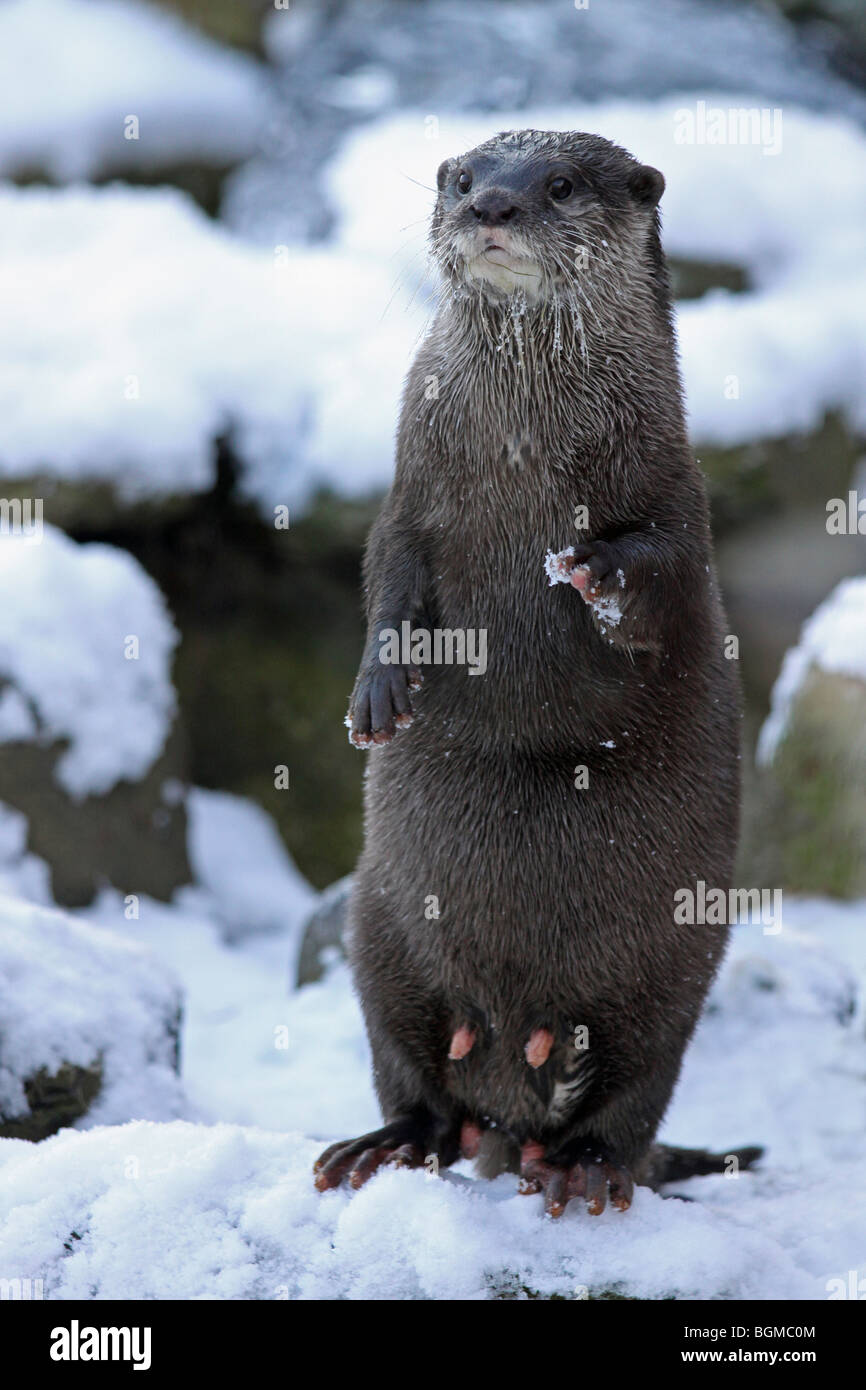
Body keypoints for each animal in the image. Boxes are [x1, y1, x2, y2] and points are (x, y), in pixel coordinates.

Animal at [312, 132, 756, 1217]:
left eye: (558, 184)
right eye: (466, 177)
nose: (495, 207)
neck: (519, 451)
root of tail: (515, 1083)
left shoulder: (676, 496)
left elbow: (663, 581)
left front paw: (595, 573)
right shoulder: (408, 493)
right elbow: (386, 578)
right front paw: (377, 695)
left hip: (673, 975)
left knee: (633, 1099)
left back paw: (584, 1168)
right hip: (379, 935)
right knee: (415, 1078)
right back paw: (385, 1143)